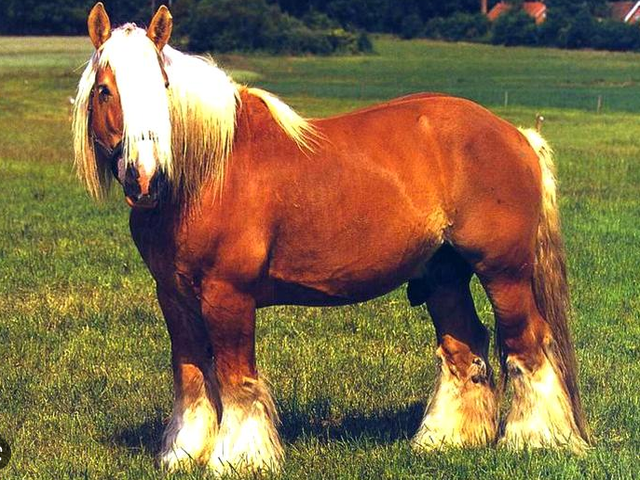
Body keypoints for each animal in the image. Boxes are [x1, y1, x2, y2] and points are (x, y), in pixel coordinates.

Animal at [73, 3, 589, 474]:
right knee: (466, 347)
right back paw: (444, 440)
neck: (206, 173)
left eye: (162, 90)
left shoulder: (228, 296)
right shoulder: (174, 297)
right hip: (444, 274)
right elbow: (192, 375)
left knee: (528, 345)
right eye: (104, 91)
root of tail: (517, 136)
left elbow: (236, 378)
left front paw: (238, 457)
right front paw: (184, 453)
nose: (144, 178)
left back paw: (535, 440)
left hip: (503, 273)